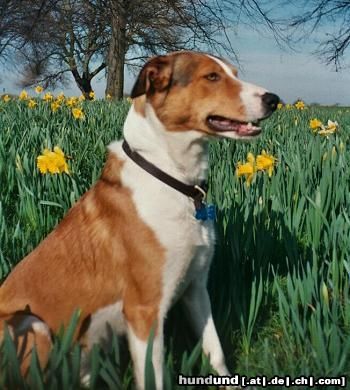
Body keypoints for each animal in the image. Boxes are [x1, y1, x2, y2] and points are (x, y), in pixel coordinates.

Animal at [0, 51, 278, 390]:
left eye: (233, 74)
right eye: (211, 77)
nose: (274, 99)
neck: (172, 178)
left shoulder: (196, 289)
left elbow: (216, 353)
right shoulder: (144, 311)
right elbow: (153, 377)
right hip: (31, 324)